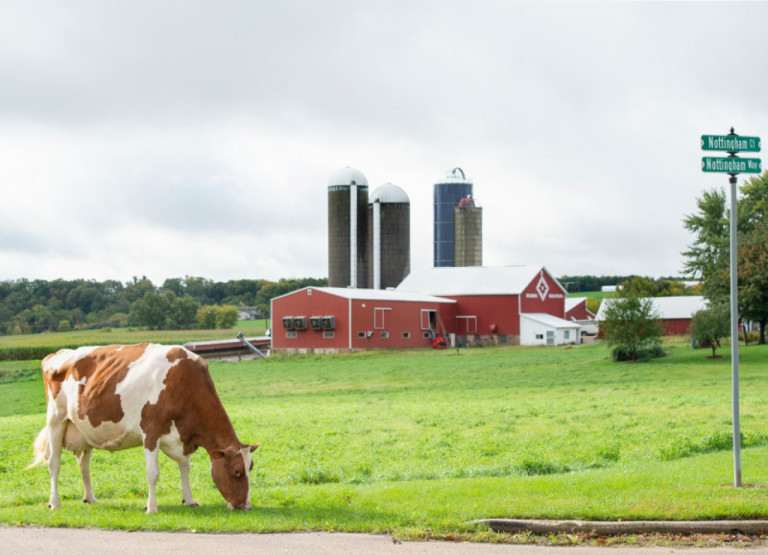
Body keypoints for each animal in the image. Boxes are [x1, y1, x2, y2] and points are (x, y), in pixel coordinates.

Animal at [28, 346, 260, 516]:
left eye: (251, 468)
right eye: (237, 471)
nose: (246, 506)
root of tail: (56, 354)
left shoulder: (181, 435)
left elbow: (185, 467)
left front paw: (190, 499)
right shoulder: (151, 431)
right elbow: (153, 473)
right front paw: (152, 507)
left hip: (86, 429)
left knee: (83, 465)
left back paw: (90, 498)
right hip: (56, 420)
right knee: (53, 464)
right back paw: (54, 502)